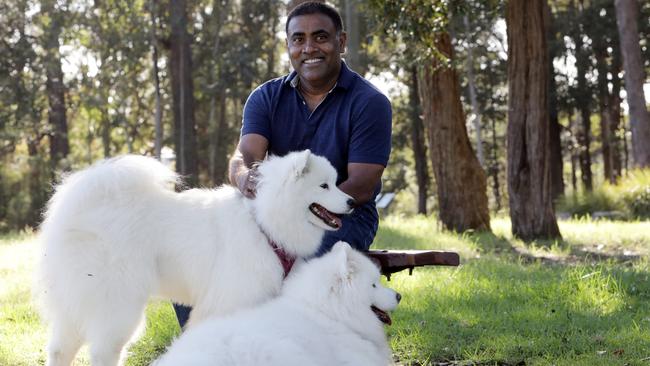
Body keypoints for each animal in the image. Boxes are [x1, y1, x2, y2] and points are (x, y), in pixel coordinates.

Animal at [34, 149, 352, 366]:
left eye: (337, 182)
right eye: (324, 186)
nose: (351, 201)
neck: (263, 224)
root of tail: (75, 209)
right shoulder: (231, 301)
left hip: (76, 301)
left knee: (60, 348)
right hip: (117, 303)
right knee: (102, 351)